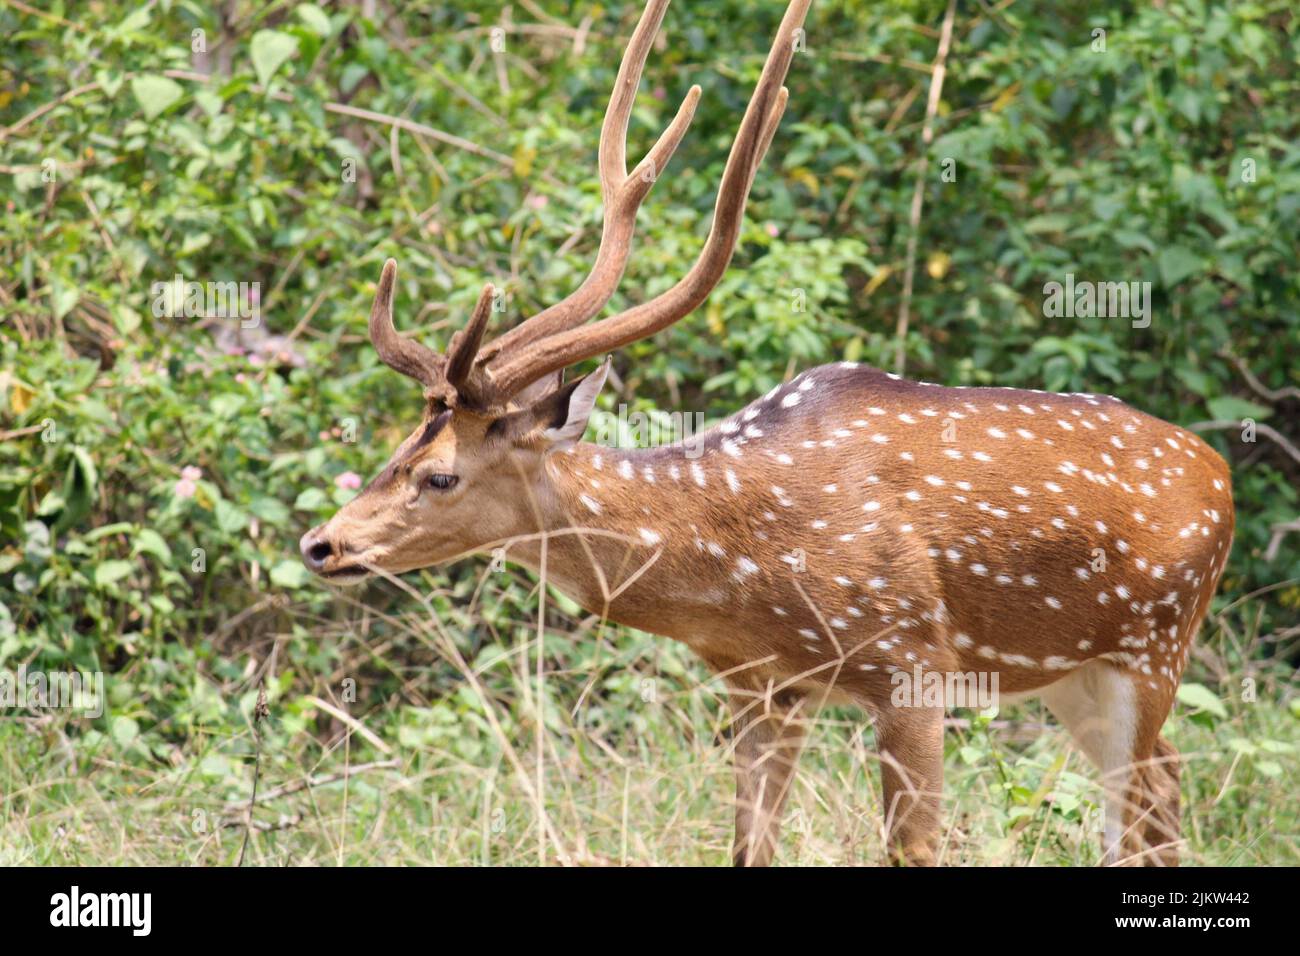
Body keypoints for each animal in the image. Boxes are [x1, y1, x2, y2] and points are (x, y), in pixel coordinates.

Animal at [299, 0, 1235, 867]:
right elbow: (749, 847)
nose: (320, 543)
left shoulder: (913, 663)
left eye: (441, 475)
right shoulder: (760, 689)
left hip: (1157, 642)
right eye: (400, 445)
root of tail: (1221, 472)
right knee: (1164, 787)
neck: (738, 570)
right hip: (1075, 671)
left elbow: (915, 848)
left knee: (1142, 803)